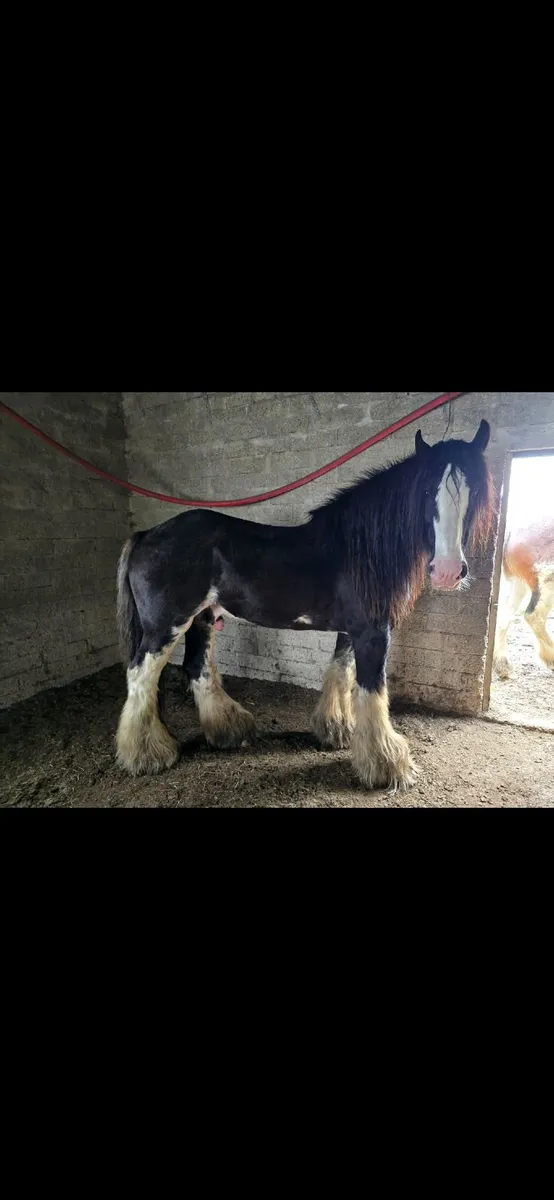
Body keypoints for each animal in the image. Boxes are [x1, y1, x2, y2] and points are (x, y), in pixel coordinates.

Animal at [115, 420, 493, 792]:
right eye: (427, 492)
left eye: (474, 491)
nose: (447, 572)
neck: (359, 549)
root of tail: (146, 535)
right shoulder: (374, 633)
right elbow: (372, 691)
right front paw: (386, 765)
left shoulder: (351, 630)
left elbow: (341, 672)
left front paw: (337, 730)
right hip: (166, 625)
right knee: (140, 675)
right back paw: (147, 754)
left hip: (202, 619)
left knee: (196, 669)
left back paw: (229, 731)